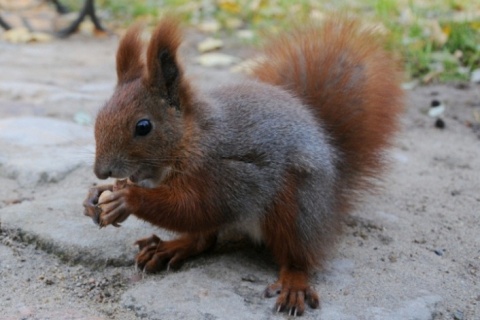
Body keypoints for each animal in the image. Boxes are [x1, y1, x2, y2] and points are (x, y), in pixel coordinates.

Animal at [83, 18, 404, 318]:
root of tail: (333, 193)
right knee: (204, 239)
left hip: (295, 207)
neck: (190, 139)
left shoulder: (223, 173)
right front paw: (97, 195)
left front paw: (126, 198)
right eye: (99, 115)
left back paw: (294, 283)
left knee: (298, 255)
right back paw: (169, 247)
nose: (101, 171)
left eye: (143, 126)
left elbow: (195, 207)